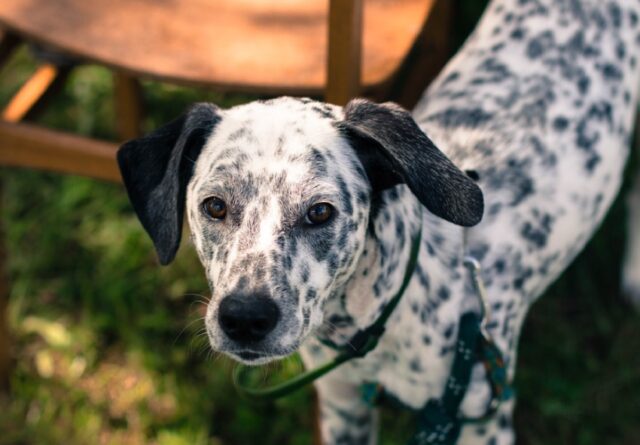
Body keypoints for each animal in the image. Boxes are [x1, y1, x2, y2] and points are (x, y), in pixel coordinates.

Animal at [116, 0, 640, 442]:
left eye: (320, 211)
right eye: (215, 206)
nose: (245, 318)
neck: (374, 325)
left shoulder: (481, 421)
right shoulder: (345, 408)